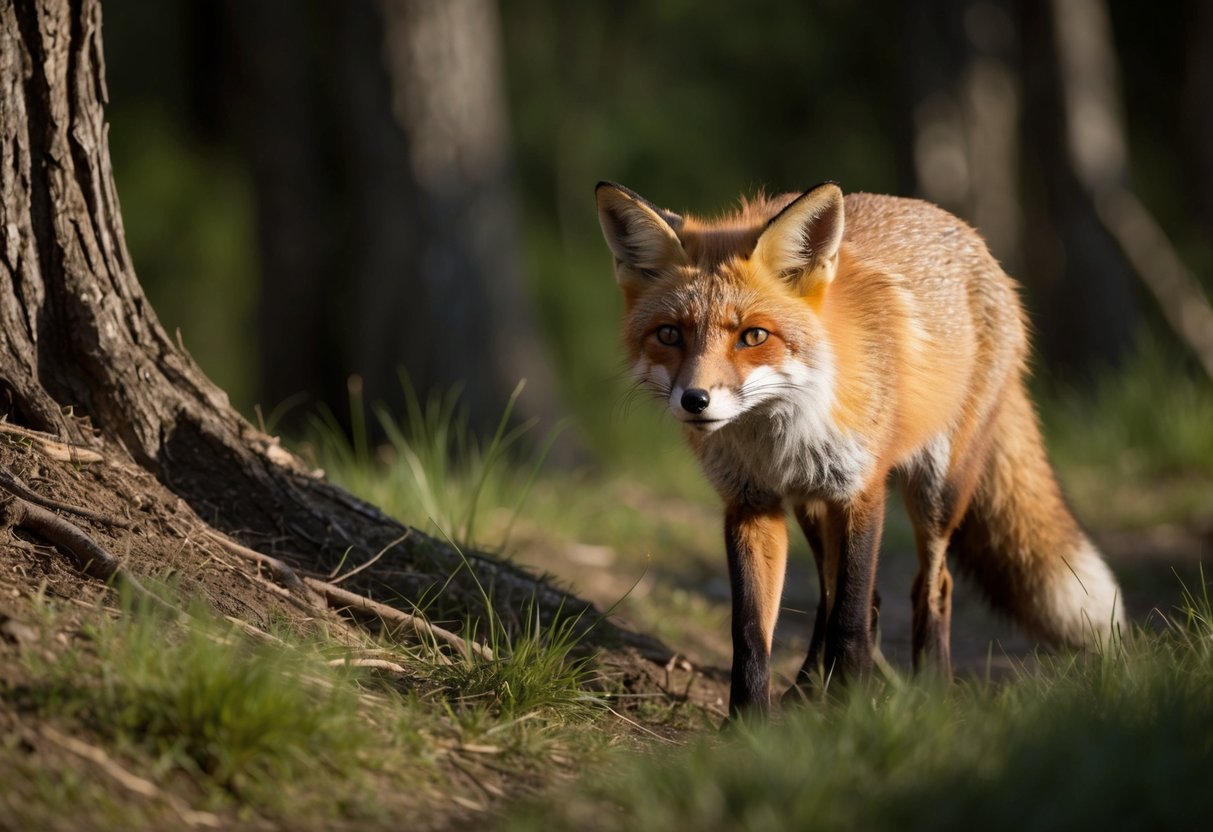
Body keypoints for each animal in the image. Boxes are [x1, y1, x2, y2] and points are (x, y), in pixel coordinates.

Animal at [595, 180, 1125, 716]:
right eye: (669, 334)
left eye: (754, 336)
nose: (695, 401)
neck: (779, 438)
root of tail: (971, 237)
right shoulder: (749, 503)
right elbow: (751, 630)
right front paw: (748, 721)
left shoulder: (860, 490)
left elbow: (850, 620)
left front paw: (851, 709)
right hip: (812, 505)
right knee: (838, 596)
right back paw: (806, 690)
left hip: (936, 491)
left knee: (930, 587)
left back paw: (932, 690)